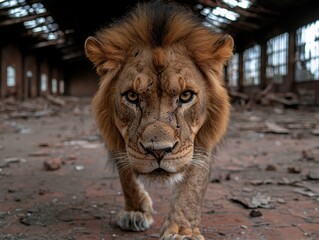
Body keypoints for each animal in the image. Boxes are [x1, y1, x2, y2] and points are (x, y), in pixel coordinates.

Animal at [85, 0, 235, 239]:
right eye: (132, 96)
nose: (158, 152)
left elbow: (193, 182)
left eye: (186, 96)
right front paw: (136, 211)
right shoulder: (118, 135)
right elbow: (126, 174)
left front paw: (182, 231)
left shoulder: (201, 138)